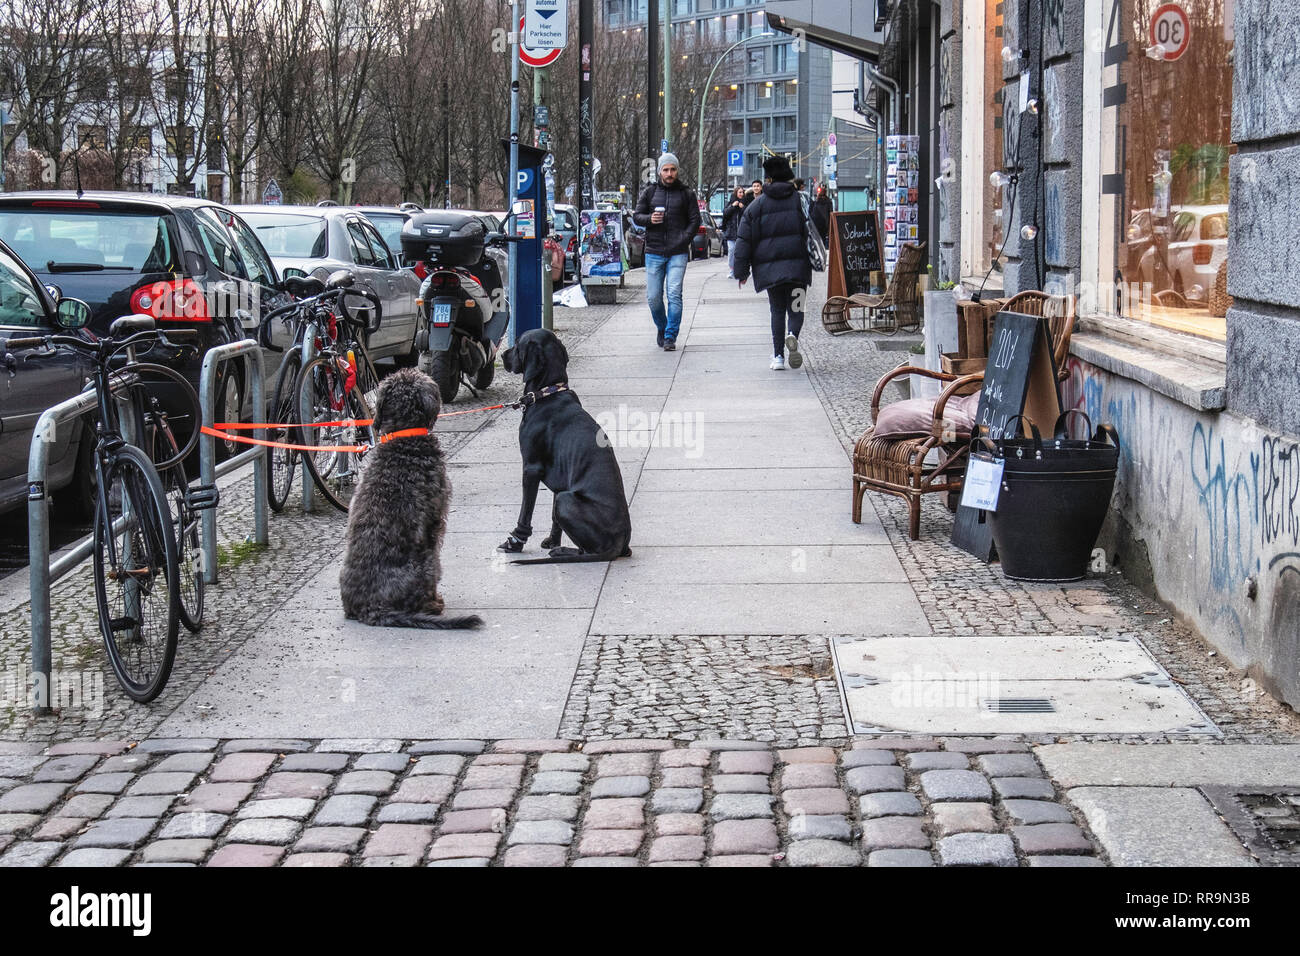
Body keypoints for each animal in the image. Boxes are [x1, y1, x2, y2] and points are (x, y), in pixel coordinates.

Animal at [499, 332, 631, 564]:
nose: (502, 354)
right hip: (564, 495)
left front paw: (515, 542)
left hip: (566, 499)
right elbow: (554, 518)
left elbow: (525, 512)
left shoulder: (531, 468)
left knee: (588, 551)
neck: (547, 393)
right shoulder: (560, 481)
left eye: (517, 344)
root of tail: (618, 544)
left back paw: (561, 552)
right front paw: (552, 540)